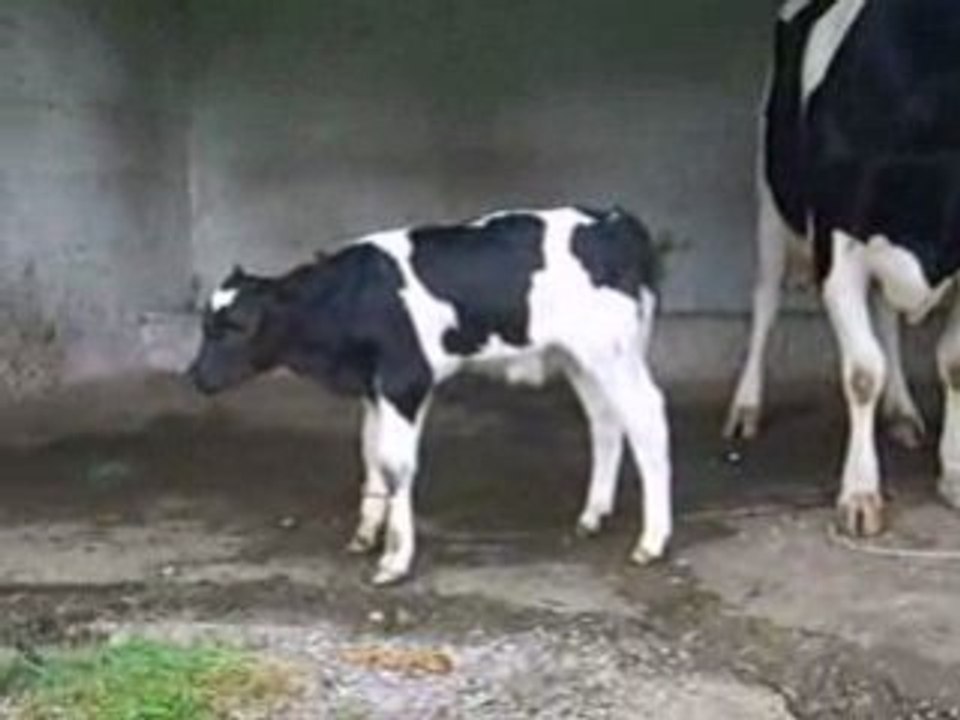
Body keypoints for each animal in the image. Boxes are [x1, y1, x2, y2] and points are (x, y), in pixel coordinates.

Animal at [187, 206, 672, 585]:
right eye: (206, 324)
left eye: (238, 326)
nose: (195, 377)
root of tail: (614, 219)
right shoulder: (375, 387)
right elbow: (371, 453)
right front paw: (366, 533)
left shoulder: (405, 380)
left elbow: (396, 466)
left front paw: (395, 559)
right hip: (580, 357)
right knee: (606, 420)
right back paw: (594, 515)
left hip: (611, 351)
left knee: (646, 418)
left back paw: (652, 541)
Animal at [728, 0, 960, 537]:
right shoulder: (836, 244)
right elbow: (862, 372)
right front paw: (859, 494)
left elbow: (953, 362)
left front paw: (954, 474)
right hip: (771, 204)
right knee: (765, 302)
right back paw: (746, 407)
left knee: (887, 317)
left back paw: (902, 413)